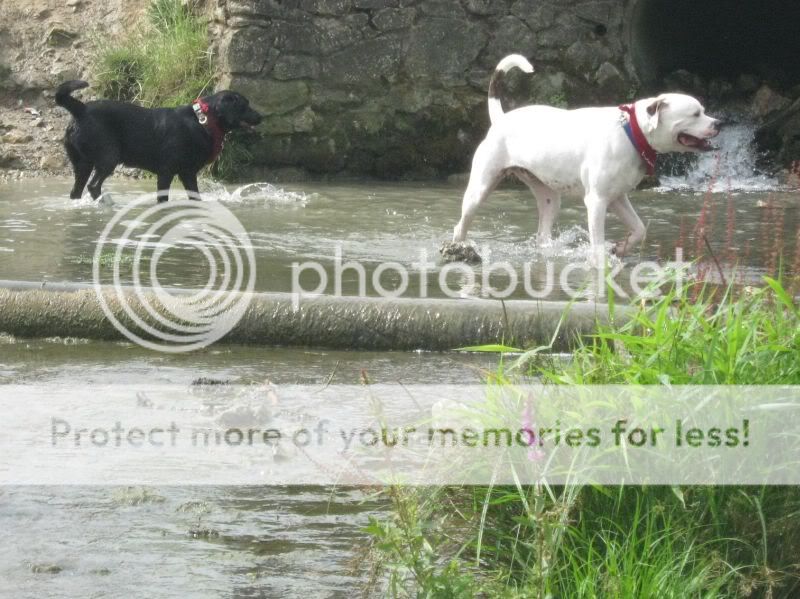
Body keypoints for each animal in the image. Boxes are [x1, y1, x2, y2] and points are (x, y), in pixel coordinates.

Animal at [54, 81, 266, 203]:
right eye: (245, 105)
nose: (261, 117)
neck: (203, 121)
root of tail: (80, 110)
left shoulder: (187, 173)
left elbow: (195, 196)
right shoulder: (166, 172)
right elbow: (163, 198)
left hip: (82, 164)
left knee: (76, 191)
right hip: (108, 158)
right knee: (93, 186)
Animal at [454, 55, 720, 262]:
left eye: (703, 111)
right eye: (695, 113)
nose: (718, 123)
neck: (631, 131)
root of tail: (501, 119)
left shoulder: (618, 198)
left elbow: (639, 230)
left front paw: (620, 249)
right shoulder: (597, 201)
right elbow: (597, 243)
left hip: (549, 198)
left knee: (543, 232)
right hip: (479, 189)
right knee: (462, 224)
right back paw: (459, 248)